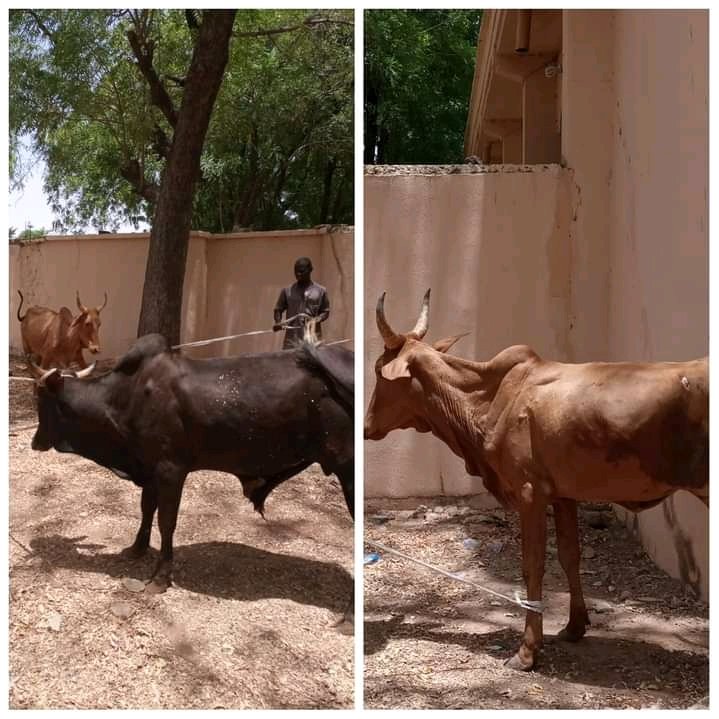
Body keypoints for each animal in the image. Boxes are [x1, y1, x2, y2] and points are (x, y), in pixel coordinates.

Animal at [28, 333, 354, 609]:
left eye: (40, 399)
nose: (35, 442)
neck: (125, 397)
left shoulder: (170, 470)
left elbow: (166, 521)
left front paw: (160, 578)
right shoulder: (151, 469)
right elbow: (146, 509)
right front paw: (136, 549)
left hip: (348, 472)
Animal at [365, 289, 708, 671]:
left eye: (378, 370)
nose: (366, 426)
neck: (489, 400)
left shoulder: (530, 494)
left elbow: (533, 566)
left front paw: (527, 651)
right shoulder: (563, 495)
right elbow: (570, 556)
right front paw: (574, 626)